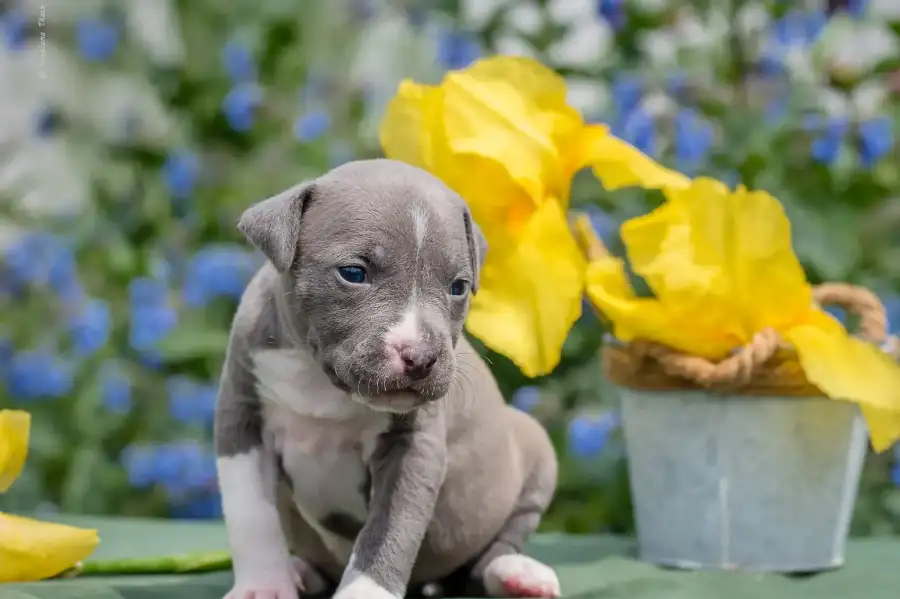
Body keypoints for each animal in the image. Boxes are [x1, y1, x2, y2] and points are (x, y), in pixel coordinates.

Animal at [214, 158, 560, 599]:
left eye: (458, 286)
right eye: (353, 273)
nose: (422, 357)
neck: (321, 383)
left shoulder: (412, 447)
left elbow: (389, 530)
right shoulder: (242, 418)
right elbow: (251, 515)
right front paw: (264, 585)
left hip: (534, 448)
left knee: (495, 549)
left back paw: (516, 574)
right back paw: (300, 571)